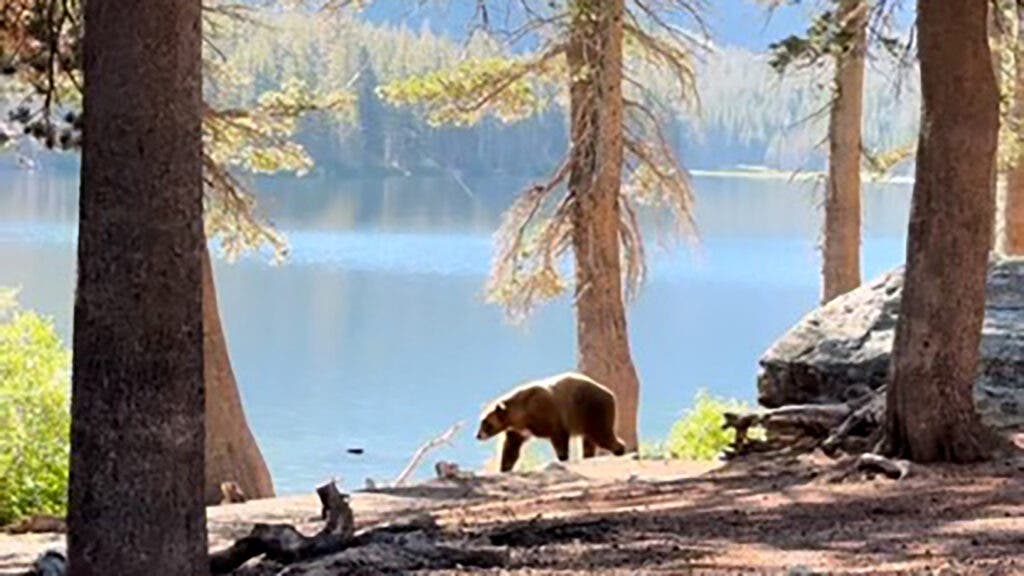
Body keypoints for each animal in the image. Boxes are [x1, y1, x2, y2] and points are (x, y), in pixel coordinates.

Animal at [476, 372, 628, 472]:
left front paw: (563, 458)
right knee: (589, 441)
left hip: (592, 410)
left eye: (486, 423)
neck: (521, 413)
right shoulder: (517, 430)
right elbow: (510, 448)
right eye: (481, 421)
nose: (477, 435)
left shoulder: (546, 413)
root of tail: (610, 393)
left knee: (602, 435)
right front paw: (504, 468)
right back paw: (588, 457)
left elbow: (558, 435)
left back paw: (620, 450)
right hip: (586, 417)